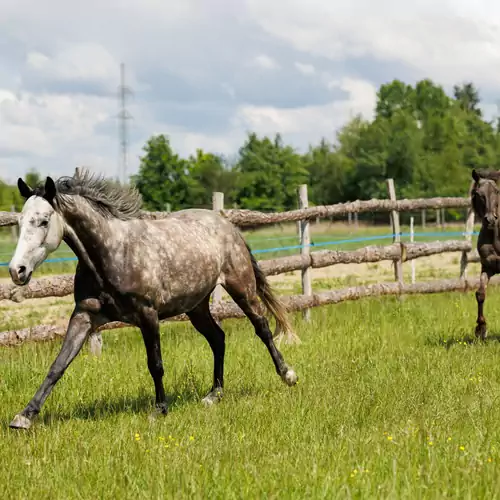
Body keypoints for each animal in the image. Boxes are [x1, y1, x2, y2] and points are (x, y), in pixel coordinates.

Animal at [8, 170, 296, 428]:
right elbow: (58, 365)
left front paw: (160, 410)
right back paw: (214, 395)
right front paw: (24, 417)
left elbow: (155, 364)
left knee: (262, 327)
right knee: (218, 339)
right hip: (196, 306)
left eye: (44, 221)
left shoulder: (147, 315)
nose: (16, 271)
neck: (112, 255)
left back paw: (288, 374)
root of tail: (228, 225)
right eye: (20, 222)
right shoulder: (84, 316)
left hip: (241, 289)